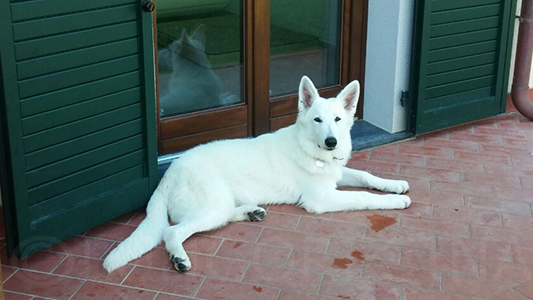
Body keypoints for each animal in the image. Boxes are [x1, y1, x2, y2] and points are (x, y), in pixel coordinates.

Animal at [103, 76, 412, 274]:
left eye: (337, 119)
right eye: (317, 120)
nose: (332, 142)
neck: (311, 149)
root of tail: (167, 175)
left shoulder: (336, 175)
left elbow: (365, 176)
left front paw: (395, 185)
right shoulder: (322, 198)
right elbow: (362, 196)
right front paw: (394, 202)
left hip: (220, 205)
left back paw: (251, 212)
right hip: (213, 205)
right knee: (172, 231)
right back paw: (179, 258)